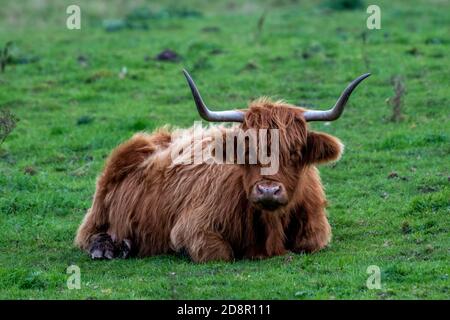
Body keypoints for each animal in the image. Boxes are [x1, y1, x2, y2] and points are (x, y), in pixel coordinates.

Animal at [74, 70, 370, 262]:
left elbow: (310, 244)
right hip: (101, 206)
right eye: (247, 151)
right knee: (87, 233)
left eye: (295, 152)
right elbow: (220, 254)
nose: (268, 191)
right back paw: (109, 247)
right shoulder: (192, 228)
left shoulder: (316, 229)